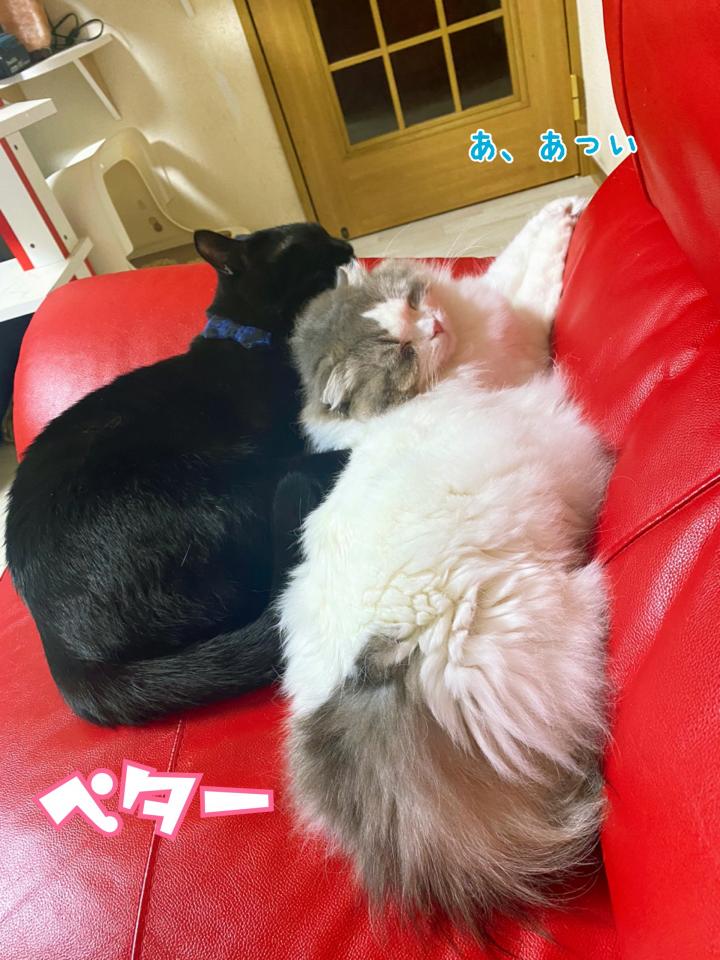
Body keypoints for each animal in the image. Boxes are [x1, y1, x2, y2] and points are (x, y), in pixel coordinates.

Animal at [279, 199, 612, 937]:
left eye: (411, 300)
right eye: (399, 352)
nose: (432, 325)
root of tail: (363, 676)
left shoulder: (492, 310)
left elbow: (515, 259)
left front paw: (561, 208)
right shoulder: (519, 334)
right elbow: (533, 274)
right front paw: (564, 218)